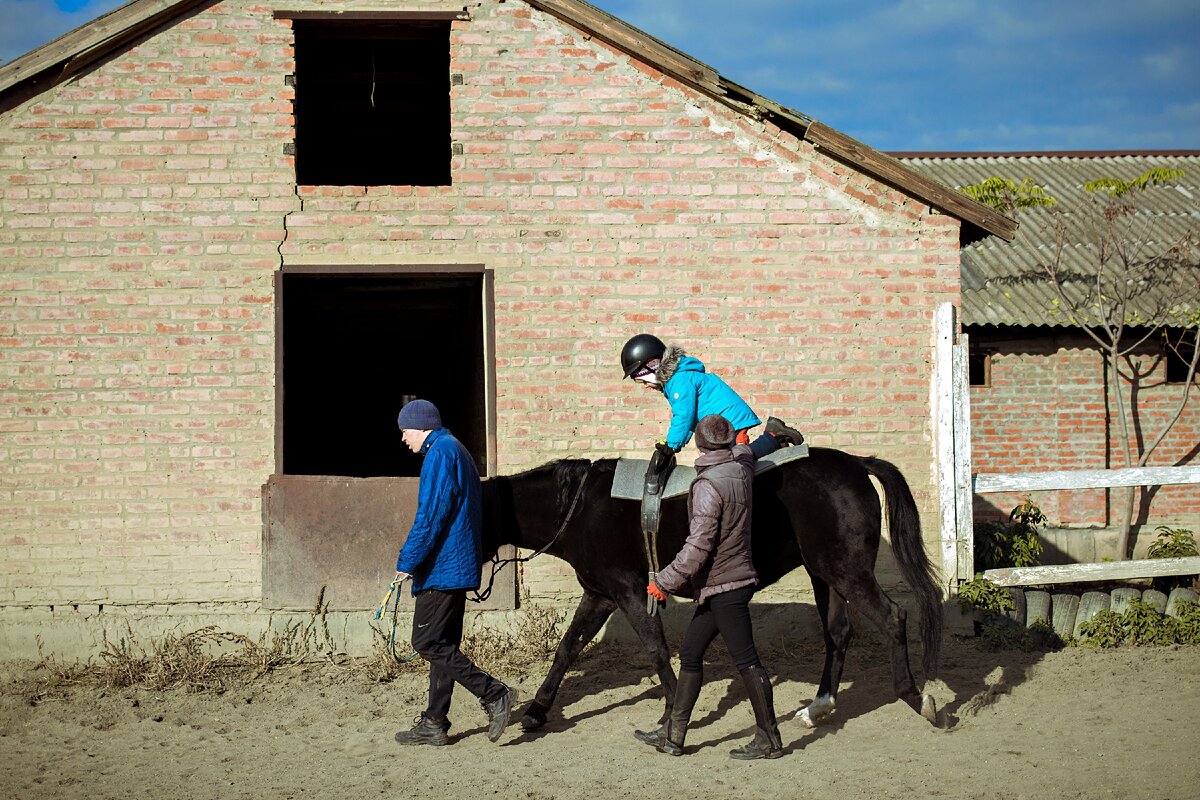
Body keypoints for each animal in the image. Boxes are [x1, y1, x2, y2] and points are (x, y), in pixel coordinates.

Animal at [482, 450, 940, 734]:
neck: (580, 508)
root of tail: (855, 464)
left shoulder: (630, 590)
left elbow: (655, 648)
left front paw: (672, 712)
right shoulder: (600, 594)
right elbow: (567, 648)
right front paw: (536, 712)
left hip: (845, 571)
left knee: (892, 617)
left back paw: (918, 700)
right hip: (823, 573)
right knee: (839, 634)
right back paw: (819, 706)